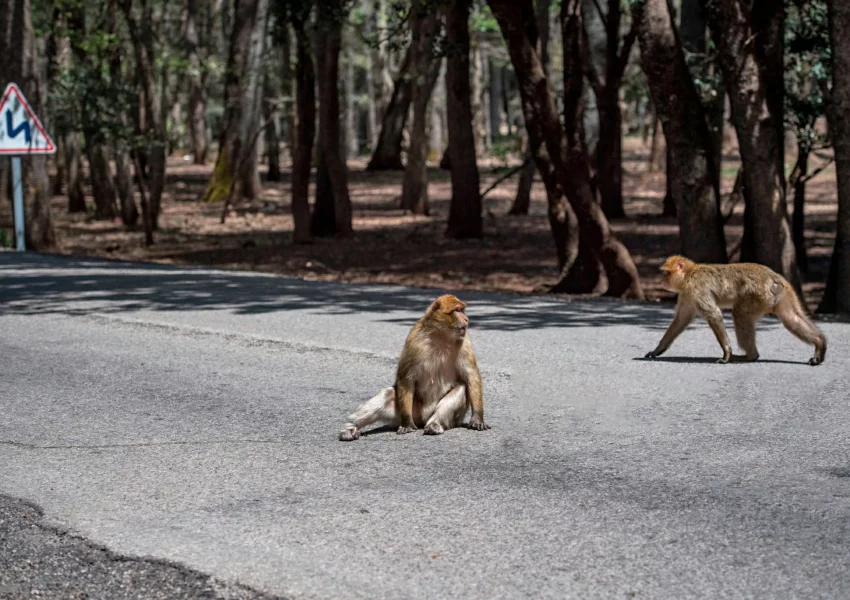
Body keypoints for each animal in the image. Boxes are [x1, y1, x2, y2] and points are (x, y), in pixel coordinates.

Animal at [336, 296, 486, 440]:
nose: (466, 319)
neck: (441, 336)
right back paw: (350, 428)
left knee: (460, 388)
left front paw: (477, 418)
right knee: (388, 394)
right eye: (457, 310)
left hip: (448, 418)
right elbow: (406, 377)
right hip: (405, 412)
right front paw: (407, 423)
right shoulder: (413, 340)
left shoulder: (465, 343)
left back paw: (434, 424)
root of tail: (422, 420)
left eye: (462, 310)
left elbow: (471, 376)